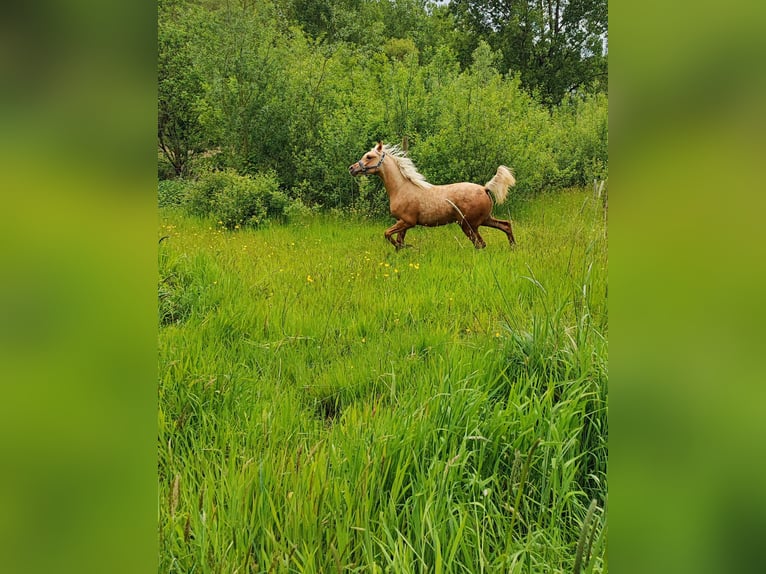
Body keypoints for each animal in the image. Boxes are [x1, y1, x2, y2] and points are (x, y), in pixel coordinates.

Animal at [352, 142, 520, 250]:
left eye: (369, 156)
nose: (351, 168)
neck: (401, 188)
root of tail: (485, 188)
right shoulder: (402, 223)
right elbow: (398, 241)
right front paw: (403, 249)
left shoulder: (407, 222)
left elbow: (387, 234)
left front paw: (407, 247)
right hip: (484, 220)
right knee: (505, 226)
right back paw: (513, 248)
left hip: (468, 225)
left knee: (481, 244)